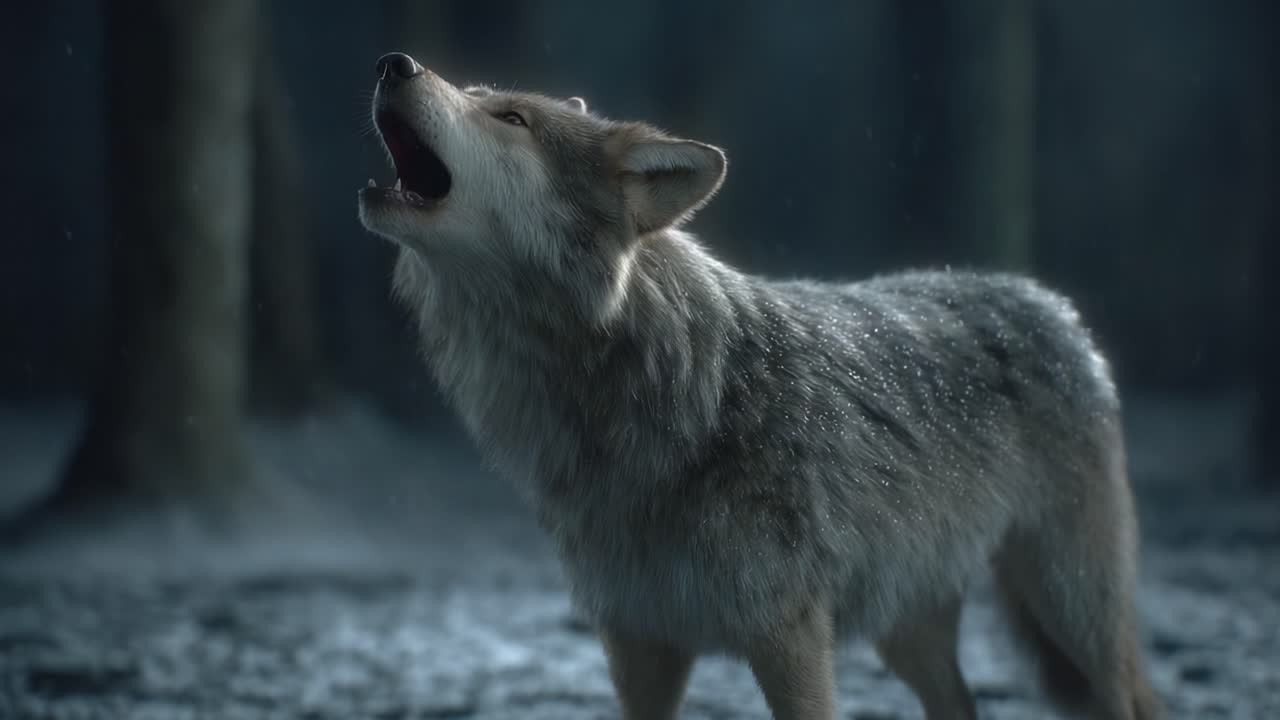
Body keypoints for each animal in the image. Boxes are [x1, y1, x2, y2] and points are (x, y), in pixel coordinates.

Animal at [357, 51, 1162, 720]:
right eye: (480, 96)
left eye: (511, 118)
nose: (394, 62)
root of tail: (1048, 301)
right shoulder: (638, 641)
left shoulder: (787, 636)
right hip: (909, 631)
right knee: (960, 705)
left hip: (1072, 609)